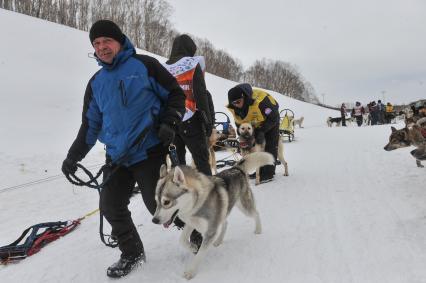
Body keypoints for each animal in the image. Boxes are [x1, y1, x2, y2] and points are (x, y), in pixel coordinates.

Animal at [151, 152, 274, 280]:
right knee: (225, 223)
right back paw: (219, 240)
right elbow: (182, 240)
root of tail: (236, 168)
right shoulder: (191, 223)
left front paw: (191, 271)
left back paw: (258, 230)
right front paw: (192, 247)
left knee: (256, 213)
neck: (197, 203)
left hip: (245, 207)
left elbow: (199, 255)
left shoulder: (210, 232)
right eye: (156, 201)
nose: (154, 220)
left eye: (166, 202)